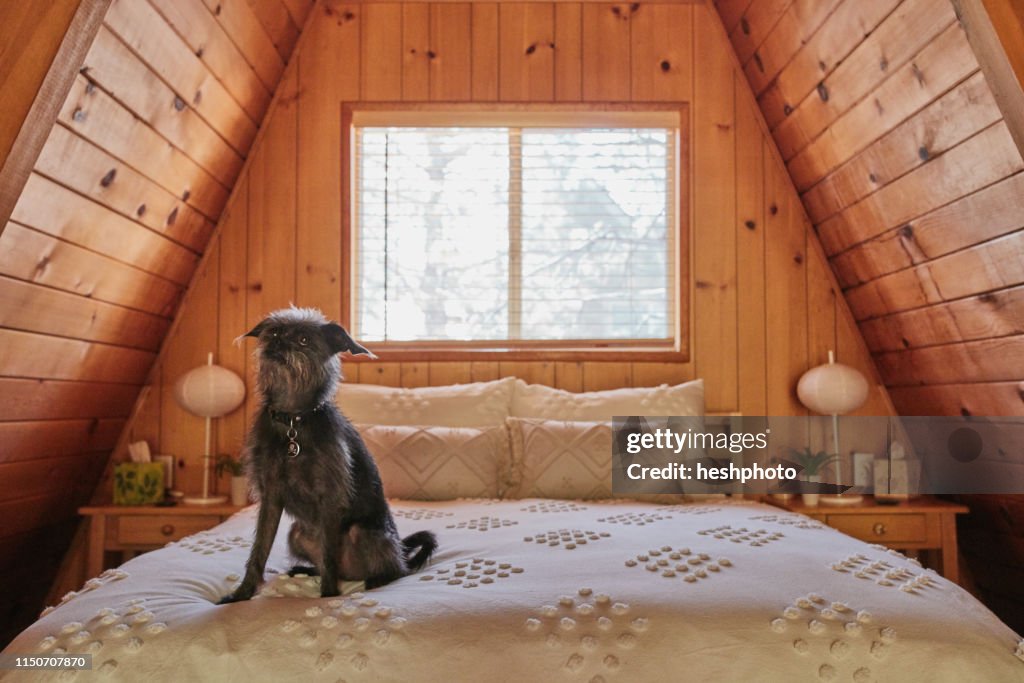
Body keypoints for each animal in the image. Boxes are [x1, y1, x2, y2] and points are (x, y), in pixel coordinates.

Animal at [220, 307, 436, 602]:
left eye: (303, 339)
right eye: (274, 332)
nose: (277, 343)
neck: (293, 421)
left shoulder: (330, 499)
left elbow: (329, 555)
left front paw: (329, 596)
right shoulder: (271, 497)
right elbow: (259, 551)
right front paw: (242, 593)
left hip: (363, 533)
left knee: (396, 570)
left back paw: (377, 579)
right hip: (296, 533)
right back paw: (306, 570)